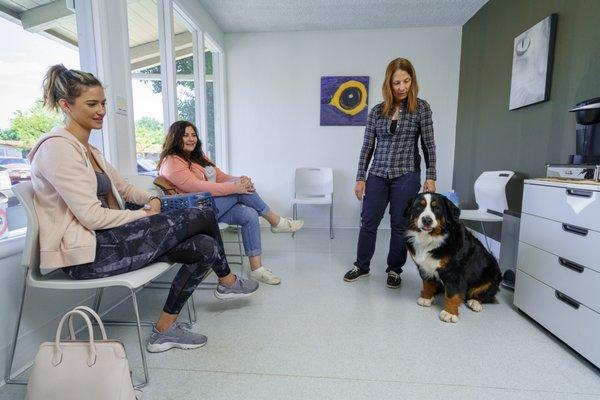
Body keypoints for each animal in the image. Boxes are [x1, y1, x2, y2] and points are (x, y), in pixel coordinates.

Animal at [404, 192, 502, 324]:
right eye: (419, 207)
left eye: (437, 208)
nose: (426, 220)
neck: (430, 239)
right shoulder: (424, 267)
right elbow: (428, 283)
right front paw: (426, 297)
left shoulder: (454, 272)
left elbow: (452, 293)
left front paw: (449, 313)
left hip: (493, 274)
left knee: (486, 295)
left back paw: (475, 302)